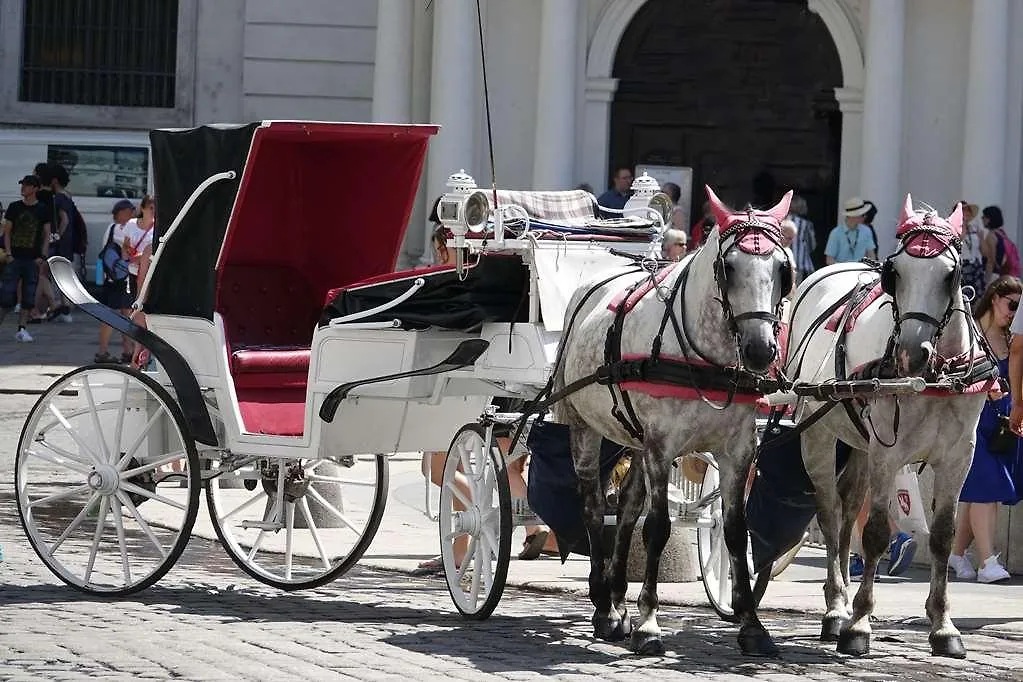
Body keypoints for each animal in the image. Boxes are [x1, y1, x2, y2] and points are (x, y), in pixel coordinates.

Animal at [552, 185, 789, 654]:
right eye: (729, 267)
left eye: (781, 267)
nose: (760, 350)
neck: (708, 360)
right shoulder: (662, 446)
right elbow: (658, 527)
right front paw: (648, 622)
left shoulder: (738, 449)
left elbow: (735, 530)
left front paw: (751, 624)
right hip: (586, 427)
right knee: (593, 507)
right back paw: (605, 606)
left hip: (633, 436)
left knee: (626, 508)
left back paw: (617, 598)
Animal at [785, 196, 994, 654]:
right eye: (894, 273)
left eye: (951, 275)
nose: (912, 353)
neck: (934, 377)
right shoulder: (888, 452)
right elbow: (878, 532)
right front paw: (859, 624)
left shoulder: (959, 456)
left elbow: (943, 535)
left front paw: (943, 626)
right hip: (818, 434)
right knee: (830, 514)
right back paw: (837, 609)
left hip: (860, 445)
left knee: (848, 509)